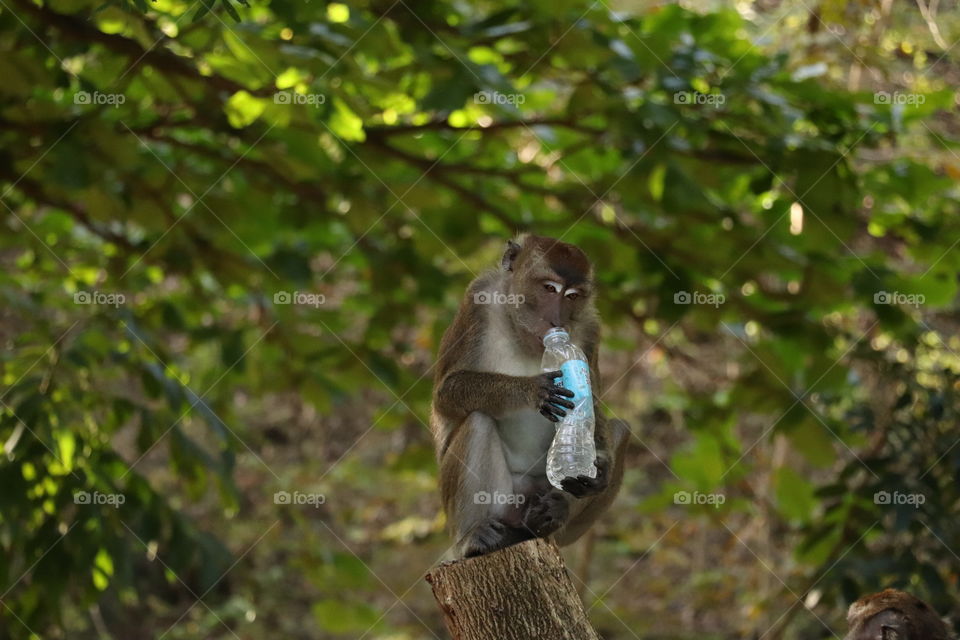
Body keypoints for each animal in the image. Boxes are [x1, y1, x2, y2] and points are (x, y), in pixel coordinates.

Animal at [430, 234, 629, 558]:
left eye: (572, 296)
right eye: (549, 288)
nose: (557, 320)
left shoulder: (590, 326)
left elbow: (595, 400)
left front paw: (598, 470)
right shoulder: (477, 298)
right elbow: (446, 393)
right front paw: (532, 390)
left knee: (621, 428)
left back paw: (553, 512)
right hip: (497, 504)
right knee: (478, 421)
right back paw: (472, 538)